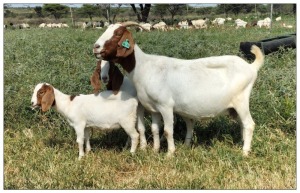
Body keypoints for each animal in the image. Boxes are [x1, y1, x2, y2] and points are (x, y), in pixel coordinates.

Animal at [92, 21, 264, 157]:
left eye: (117, 34)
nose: (96, 47)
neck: (144, 68)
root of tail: (251, 67)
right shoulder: (153, 108)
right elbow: (155, 129)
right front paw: (155, 150)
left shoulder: (166, 105)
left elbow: (168, 130)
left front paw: (170, 153)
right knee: (243, 125)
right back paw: (243, 145)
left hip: (241, 101)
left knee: (249, 124)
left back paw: (245, 152)